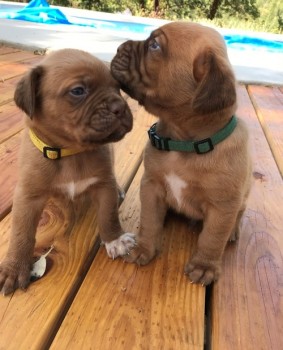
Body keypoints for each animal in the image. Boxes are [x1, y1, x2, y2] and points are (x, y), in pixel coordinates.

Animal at [0, 48, 136, 296]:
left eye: (118, 88)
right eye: (78, 91)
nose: (119, 106)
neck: (70, 151)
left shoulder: (104, 186)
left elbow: (108, 215)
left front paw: (115, 239)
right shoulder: (28, 197)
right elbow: (21, 233)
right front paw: (14, 267)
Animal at [111, 21, 253, 284]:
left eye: (155, 45)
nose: (118, 48)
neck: (183, 143)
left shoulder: (222, 207)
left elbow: (212, 238)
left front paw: (205, 265)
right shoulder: (152, 186)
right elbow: (150, 222)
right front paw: (144, 248)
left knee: (238, 215)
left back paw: (233, 230)